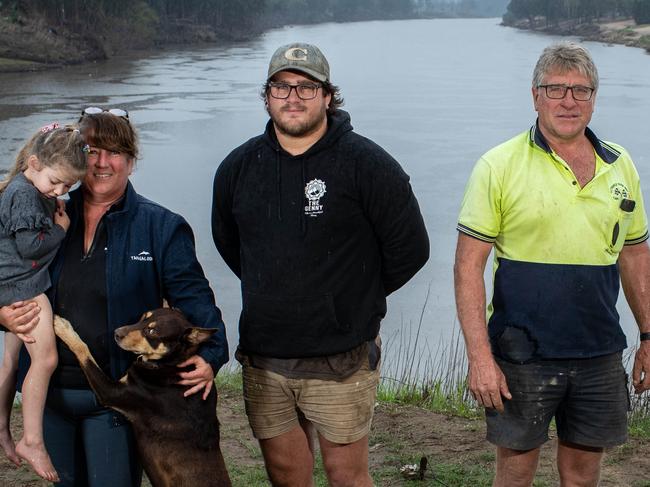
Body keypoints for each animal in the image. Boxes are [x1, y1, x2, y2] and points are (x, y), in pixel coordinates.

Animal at [53, 308, 230, 487]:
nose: (116, 333)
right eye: (144, 317)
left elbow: (84, 350)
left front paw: (63, 327)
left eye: (152, 331)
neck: (170, 365)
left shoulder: (110, 392)